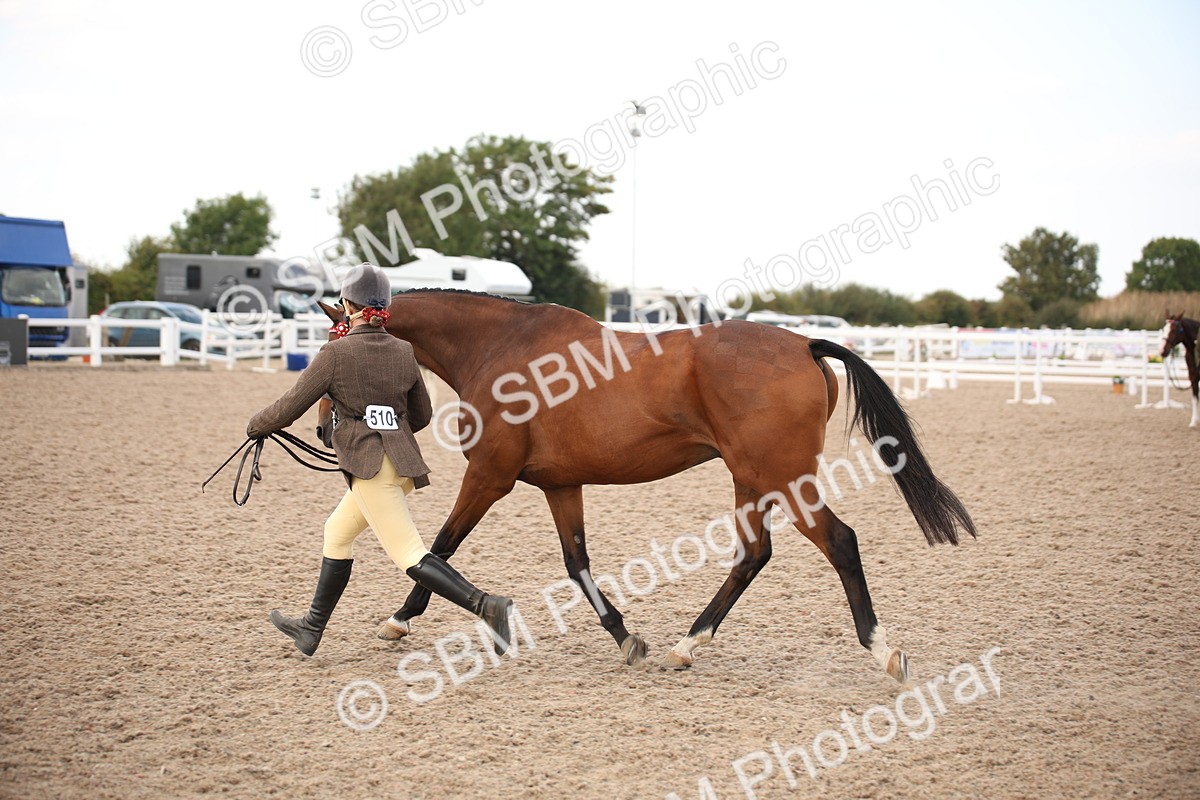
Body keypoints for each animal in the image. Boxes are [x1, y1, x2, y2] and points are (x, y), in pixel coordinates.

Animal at [313, 290, 976, 682]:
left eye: (328, 354)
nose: (321, 428)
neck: (502, 346)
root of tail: (803, 342)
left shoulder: (489, 477)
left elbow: (440, 547)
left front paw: (400, 619)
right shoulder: (561, 486)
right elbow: (576, 563)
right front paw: (626, 636)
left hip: (784, 480)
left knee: (839, 542)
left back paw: (882, 649)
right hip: (751, 481)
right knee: (753, 555)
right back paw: (688, 644)